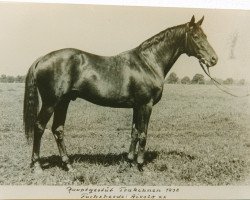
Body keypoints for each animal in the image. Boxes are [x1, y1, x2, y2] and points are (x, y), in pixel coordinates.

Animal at [24, 15, 218, 173]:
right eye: (195, 36)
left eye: (206, 36)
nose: (214, 59)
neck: (148, 62)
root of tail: (41, 59)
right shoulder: (146, 105)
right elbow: (143, 134)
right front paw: (140, 165)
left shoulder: (136, 106)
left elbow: (134, 133)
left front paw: (129, 162)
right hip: (51, 102)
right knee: (39, 127)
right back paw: (37, 165)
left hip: (63, 102)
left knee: (58, 129)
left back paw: (68, 165)